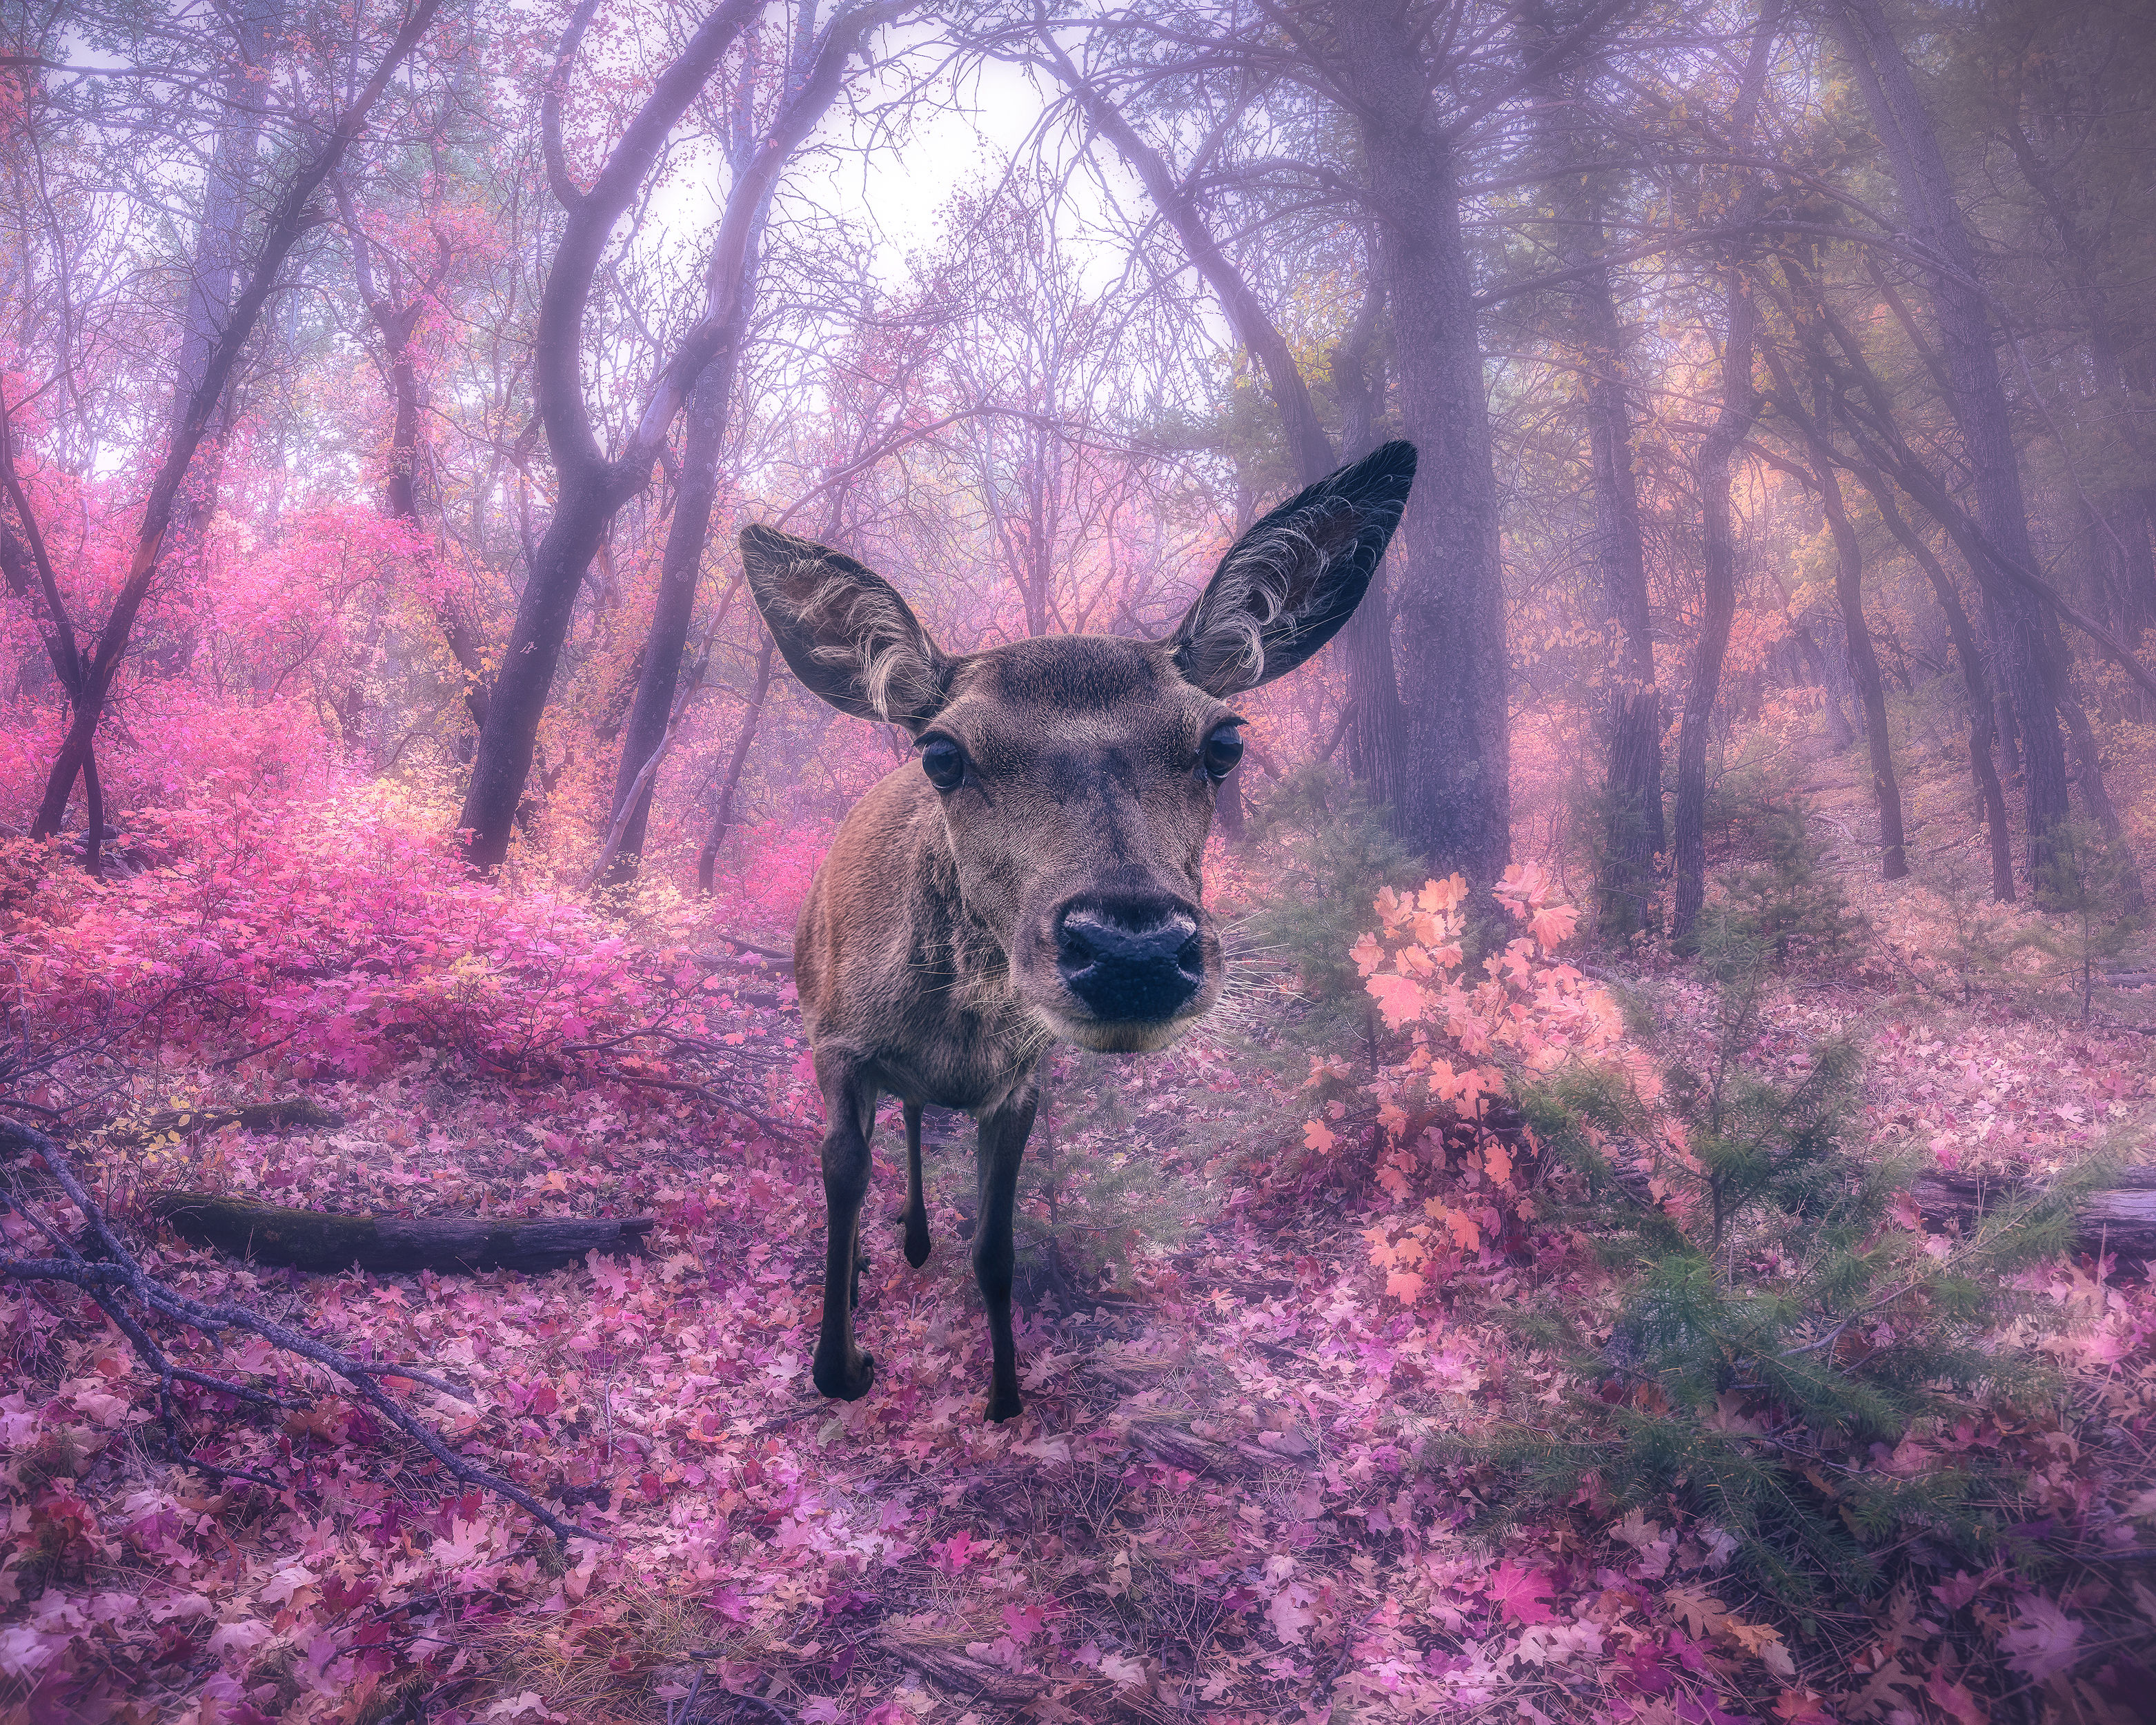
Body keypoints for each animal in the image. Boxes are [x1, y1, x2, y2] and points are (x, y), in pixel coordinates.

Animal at [739, 441, 1416, 1422]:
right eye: (941, 752)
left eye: (1223, 742)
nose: (1133, 953)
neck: (954, 1029)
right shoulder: (835, 1042)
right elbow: (840, 1177)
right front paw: (847, 1357)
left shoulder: (1022, 1078)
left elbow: (996, 1248)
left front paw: (1004, 1394)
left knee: (918, 1115)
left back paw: (916, 1236)